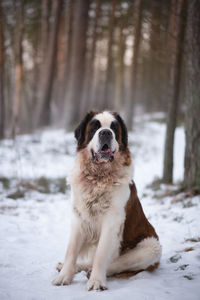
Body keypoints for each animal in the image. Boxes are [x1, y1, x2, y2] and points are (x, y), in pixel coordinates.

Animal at [51, 110, 161, 290]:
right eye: (95, 127)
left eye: (114, 128)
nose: (105, 133)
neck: (98, 176)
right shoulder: (78, 216)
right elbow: (71, 250)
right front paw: (64, 276)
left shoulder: (112, 221)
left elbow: (101, 254)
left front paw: (96, 281)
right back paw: (76, 267)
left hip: (152, 247)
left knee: (116, 263)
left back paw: (91, 272)